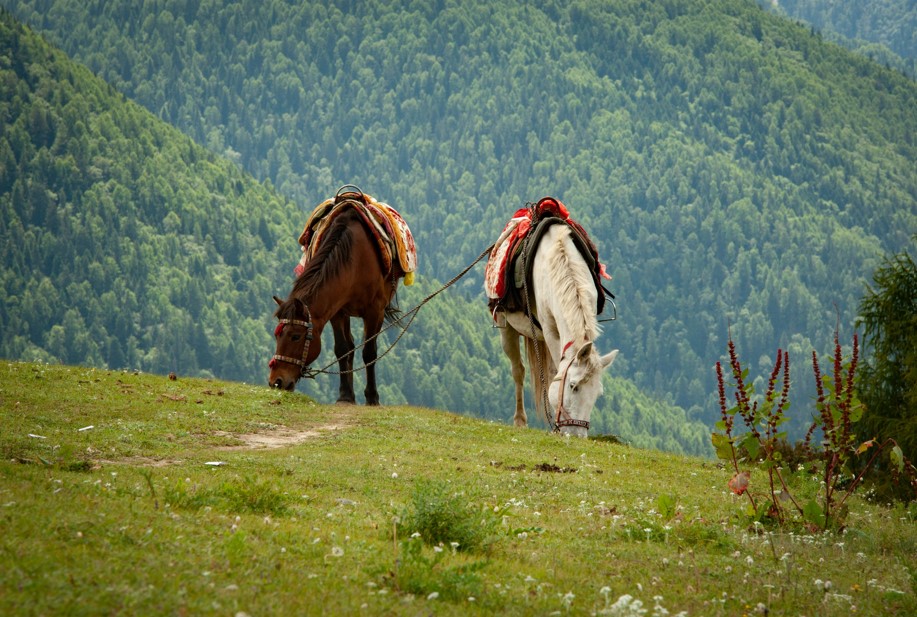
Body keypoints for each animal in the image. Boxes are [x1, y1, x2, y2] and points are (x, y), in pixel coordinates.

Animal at [268, 192, 412, 405]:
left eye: (295, 336)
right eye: (277, 334)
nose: (276, 382)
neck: (356, 260)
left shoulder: (375, 311)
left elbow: (369, 352)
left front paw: (372, 397)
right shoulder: (336, 310)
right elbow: (342, 349)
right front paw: (345, 395)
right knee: (350, 346)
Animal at [488, 202, 618, 436]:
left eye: (598, 394)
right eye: (573, 386)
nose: (577, 436)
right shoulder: (549, 330)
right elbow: (551, 373)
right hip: (507, 327)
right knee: (518, 370)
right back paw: (520, 420)